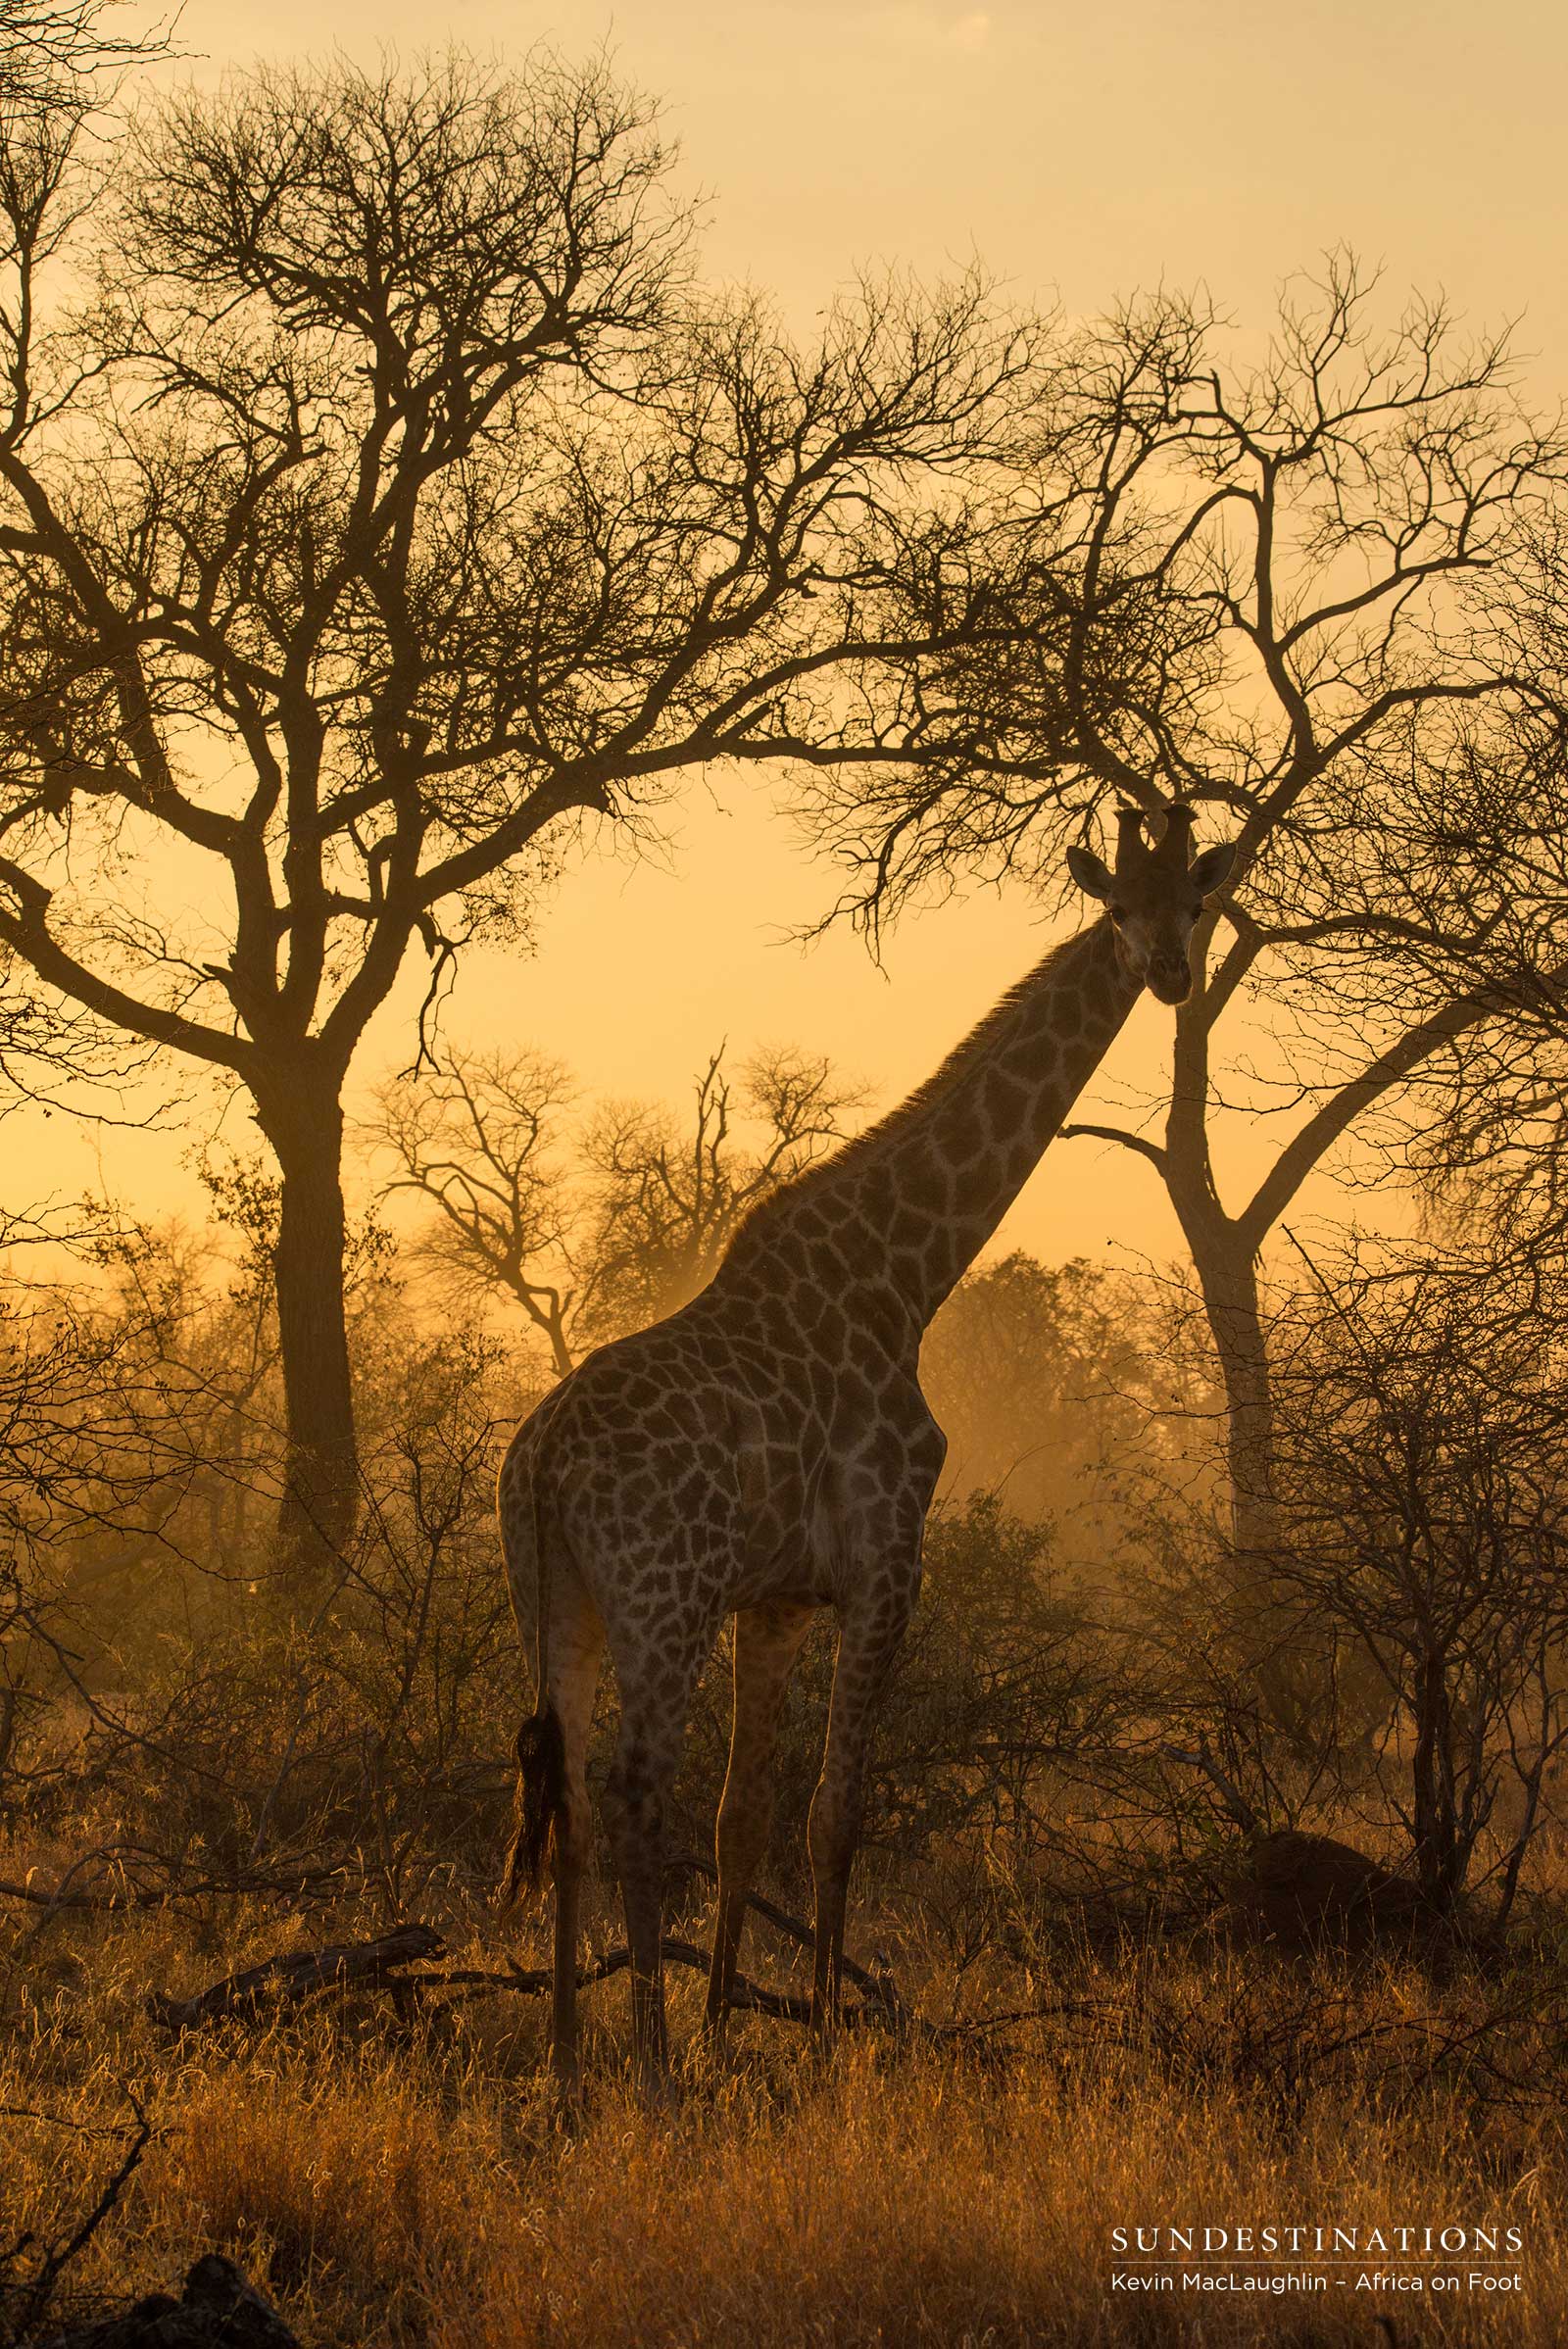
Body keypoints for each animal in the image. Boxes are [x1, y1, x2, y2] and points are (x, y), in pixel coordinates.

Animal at [497, 800, 1238, 2085]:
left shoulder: (779, 1598)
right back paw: (642, 2061)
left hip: (555, 1600)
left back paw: (569, 2059)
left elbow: (745, 1818)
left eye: (1195, 898)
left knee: (572, 1793)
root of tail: (541, 1465)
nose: (1168, 973)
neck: (906, 1277)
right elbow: (834, 1813)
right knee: (634, 1789)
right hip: (659, 1599)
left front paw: (726, 2029)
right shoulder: (889, 1561)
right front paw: (825, 2045)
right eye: (1117, 905)